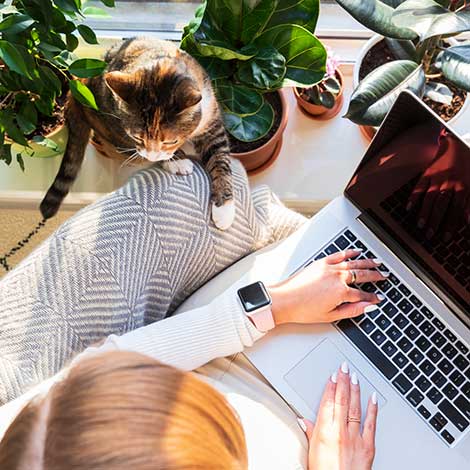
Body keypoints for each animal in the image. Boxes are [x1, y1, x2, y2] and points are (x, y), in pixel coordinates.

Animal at [40, 36, 237, 229]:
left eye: (170, 141)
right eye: (137, 137)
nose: (152, 155)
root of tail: (77, 87)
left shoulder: (212, 122)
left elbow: (220, 159)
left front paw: (224, 208)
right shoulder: (120, 127)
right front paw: (176, 161)